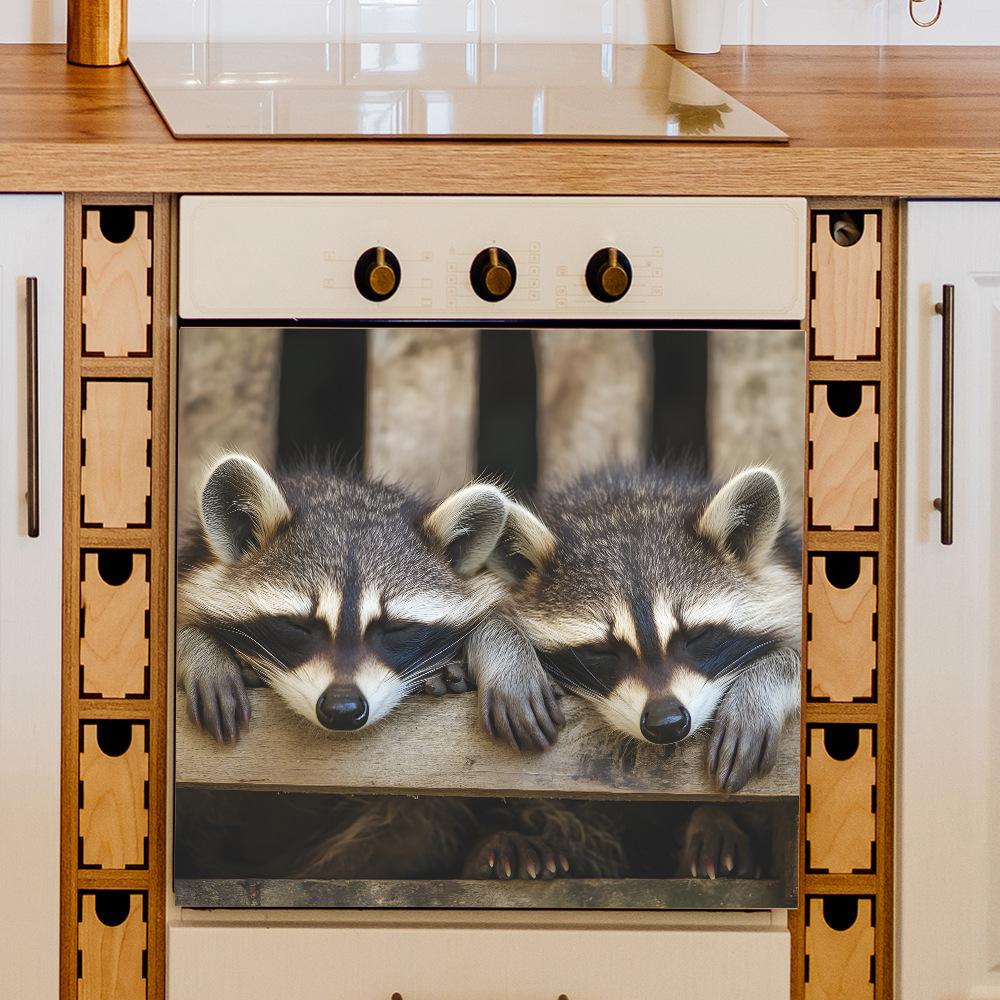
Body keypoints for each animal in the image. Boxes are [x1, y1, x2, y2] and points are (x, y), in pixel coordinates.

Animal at [469, 465, 802, 793]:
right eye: (601, 650)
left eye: (696, 636)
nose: (667, 722)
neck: (628, 502)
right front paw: (505, 649)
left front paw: (761, 689)